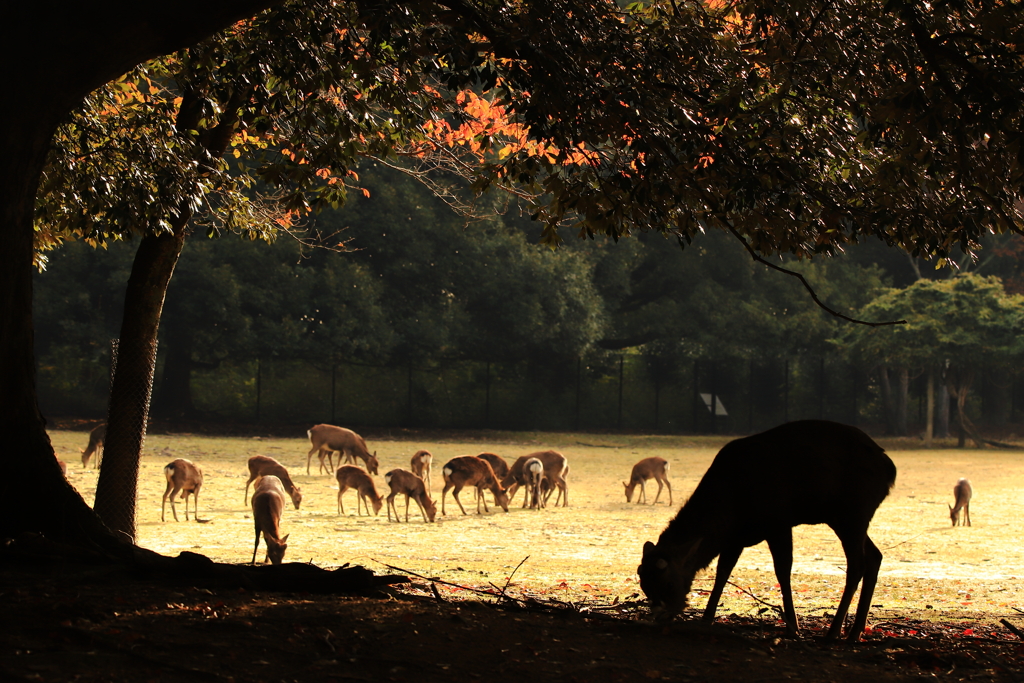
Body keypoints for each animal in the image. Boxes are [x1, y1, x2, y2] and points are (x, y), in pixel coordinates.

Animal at [638, 421, 897, 643]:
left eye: (669, 583)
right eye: (644, 584)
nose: (660, 615)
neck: (729, 508)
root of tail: (889, 467)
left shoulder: (778, 523)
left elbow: (782, 570)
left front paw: (793, 627)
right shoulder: (735, 538)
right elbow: (723, 572)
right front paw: (707, 618)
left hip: (853, 512)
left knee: (857, 564)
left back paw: (834, 632)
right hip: (845, 518)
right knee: (875, 556)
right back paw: (855, 631)